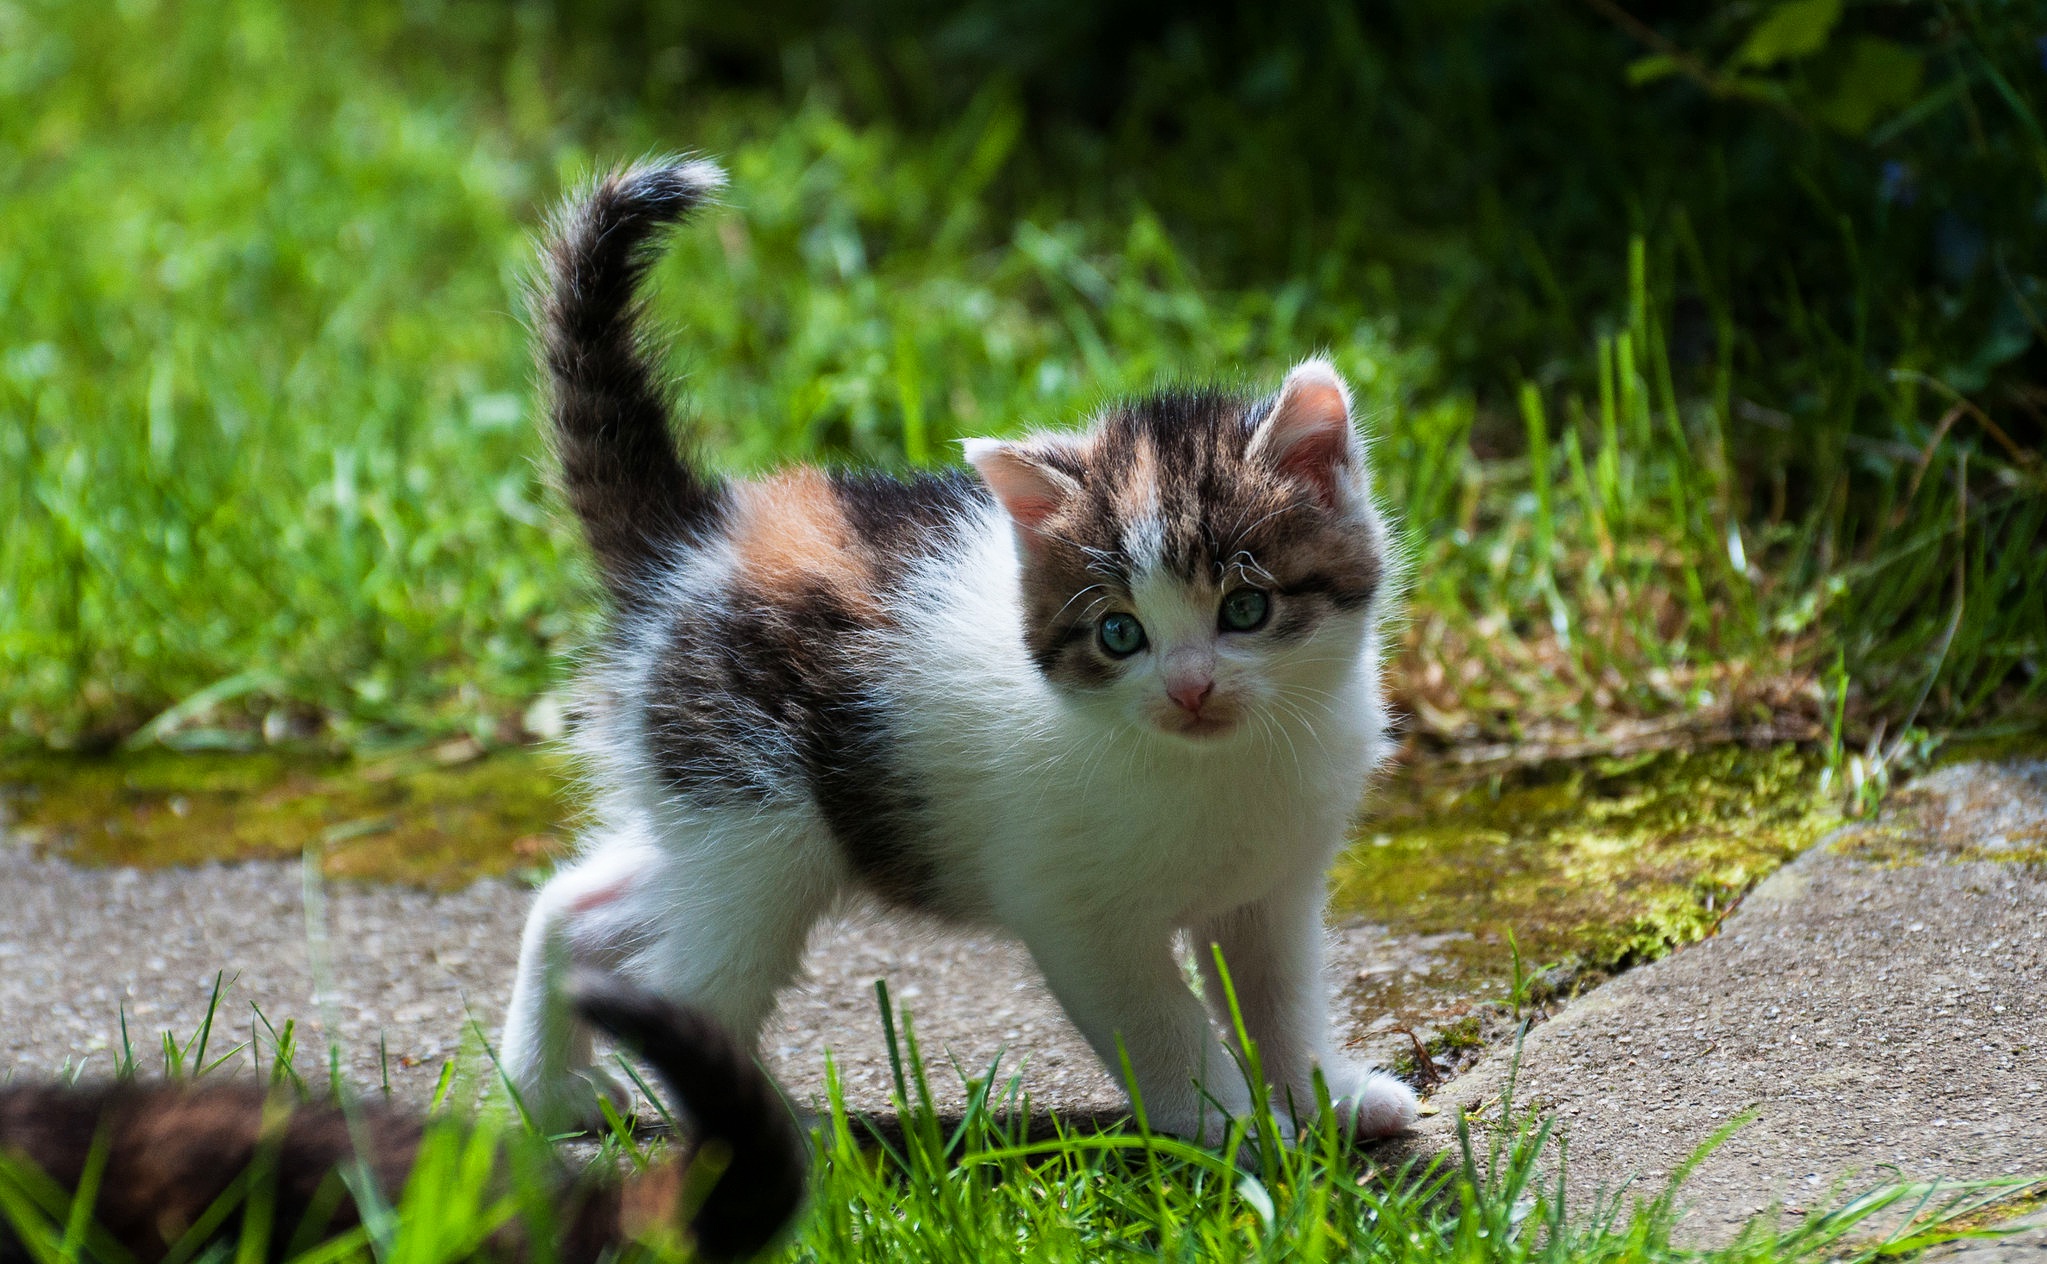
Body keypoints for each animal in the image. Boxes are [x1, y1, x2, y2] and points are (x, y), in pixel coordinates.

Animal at [503, 157, 1416, 1147]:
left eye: (1246, 608)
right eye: (1118, 633)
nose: (1189, 689)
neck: (1220, 767)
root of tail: (700, 538)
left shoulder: (1273, 888)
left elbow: (1277, 997)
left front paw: (1323, 1098)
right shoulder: (1074, 912)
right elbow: (1158, 1020)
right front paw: (1229, 1127)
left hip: (726, 813)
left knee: (576, 904)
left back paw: (543, 1091)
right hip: (756, 813)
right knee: (693, 983)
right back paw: (778, 1135)